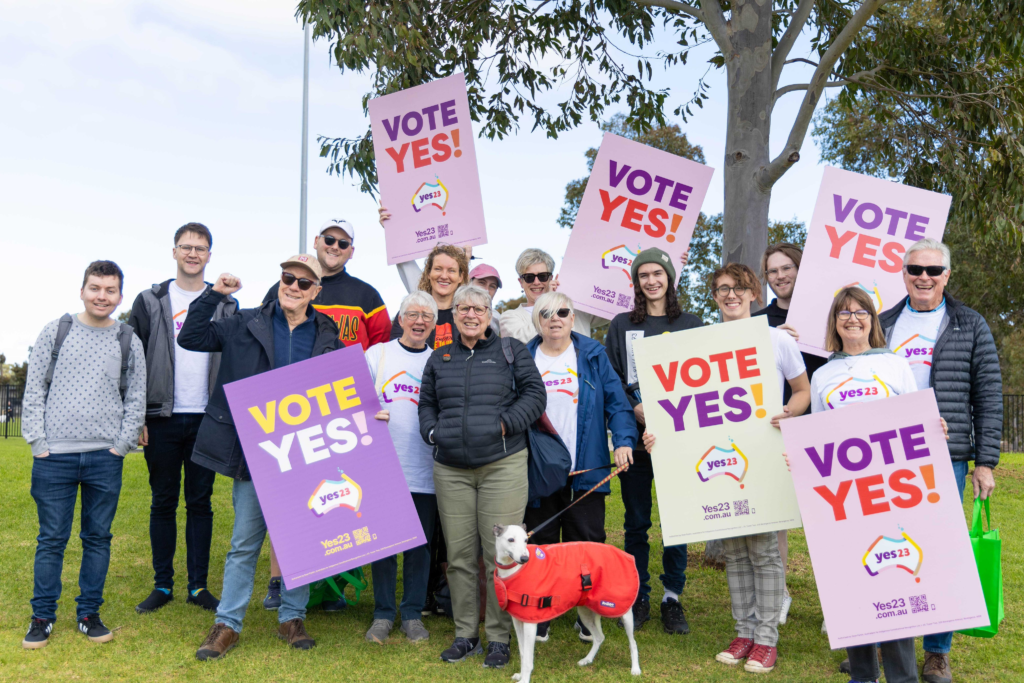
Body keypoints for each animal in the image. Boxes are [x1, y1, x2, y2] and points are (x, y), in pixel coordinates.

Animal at [489, 528, 638, 679]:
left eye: (526, 540)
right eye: (511, 539)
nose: (524, 559)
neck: (513, 569)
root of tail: (626, 555)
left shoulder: (530, 624)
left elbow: (528, 660)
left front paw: (524, 679)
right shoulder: (518, 621)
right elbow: (523, 653)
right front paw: (520, 676)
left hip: (623, 612)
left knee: (633, 643)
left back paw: (635, 669)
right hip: (586, 613)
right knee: (599, 637)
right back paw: (587, 660)